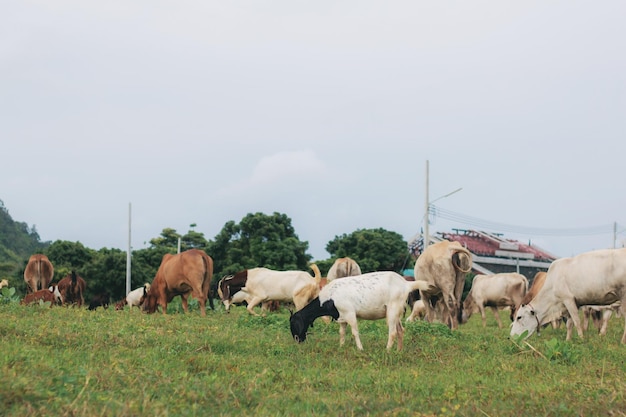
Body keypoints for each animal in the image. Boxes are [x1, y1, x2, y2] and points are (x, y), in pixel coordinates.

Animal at [288, 272, 432, 350]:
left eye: (294, 323)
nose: (298, 341)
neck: (329, 297)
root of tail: (405, 284)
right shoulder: (341, 316)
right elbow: (342, 333)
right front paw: (341, 347)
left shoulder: (350, 313)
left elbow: (354, 332)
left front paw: (360, 349)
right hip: (396, 311)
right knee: (401, 330)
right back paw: (398, 351)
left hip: (392, 308)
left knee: (392, 332)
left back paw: (387, 350)